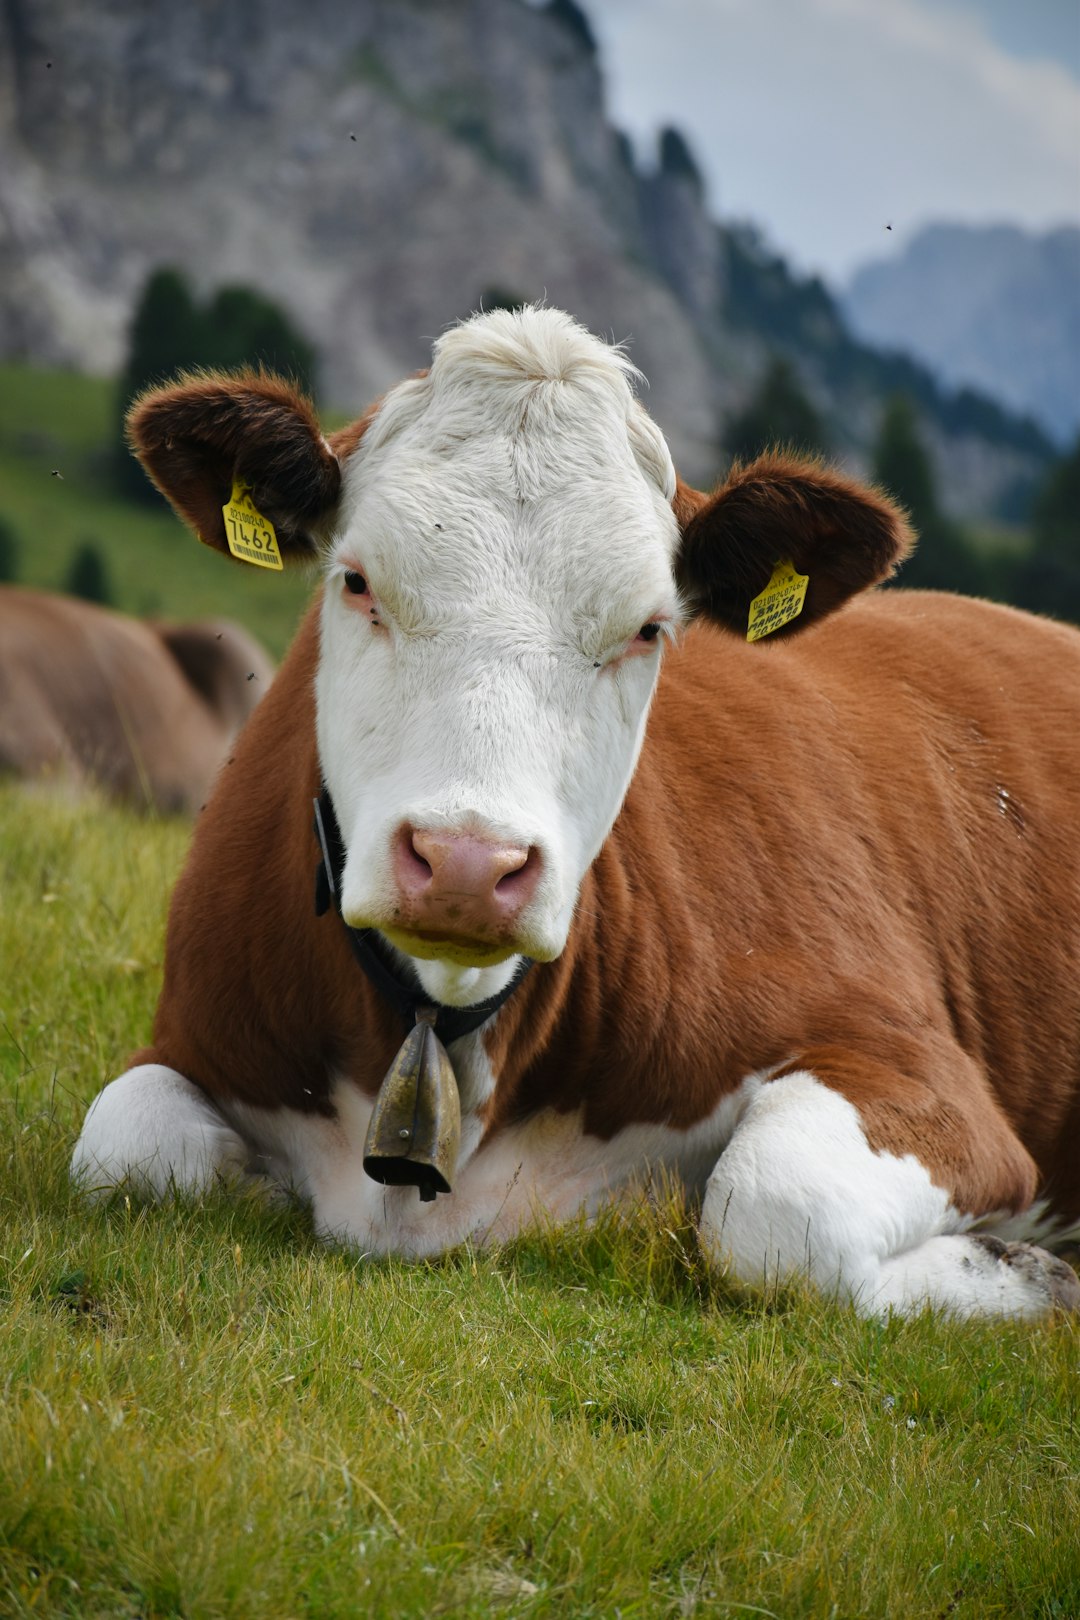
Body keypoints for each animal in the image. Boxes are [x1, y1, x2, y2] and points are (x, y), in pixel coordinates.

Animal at [71, 309, 1080, 1321]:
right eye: (356, 581)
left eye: (649, 627)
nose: (467, 864)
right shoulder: (194, 1032)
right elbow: (125, 1146)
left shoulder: (916, 1068)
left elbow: (776, 1209)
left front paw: (1032, 1274)